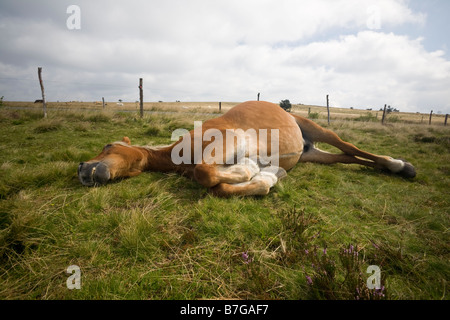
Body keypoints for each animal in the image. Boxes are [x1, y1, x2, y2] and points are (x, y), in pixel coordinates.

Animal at [77, 100, 414, 196]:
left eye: (107, 145)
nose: (82, 169)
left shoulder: (228, 142)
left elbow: (205, 173)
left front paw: (253, 169)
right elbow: (220, 187)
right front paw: (266, 177)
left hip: (319, 129)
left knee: (350, 146)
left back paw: (400, 165)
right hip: (313, 156)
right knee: (345, 157)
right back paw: (397, 168)